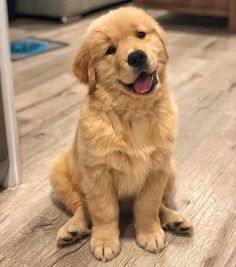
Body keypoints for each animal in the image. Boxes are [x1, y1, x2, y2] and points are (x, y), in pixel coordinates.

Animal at [48, 6, 193, 264]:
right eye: (110, 50)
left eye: (141, 34)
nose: (136, 57)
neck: (133, 113)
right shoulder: (98, 173)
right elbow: (103, 211)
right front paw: (105, 241)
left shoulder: (157, 169)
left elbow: (148, 206)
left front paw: (150, 233)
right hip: (59, 173)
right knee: (80, 206)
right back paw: (72, 229)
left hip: (171, 170)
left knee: (160, 205)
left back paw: (175, 219)